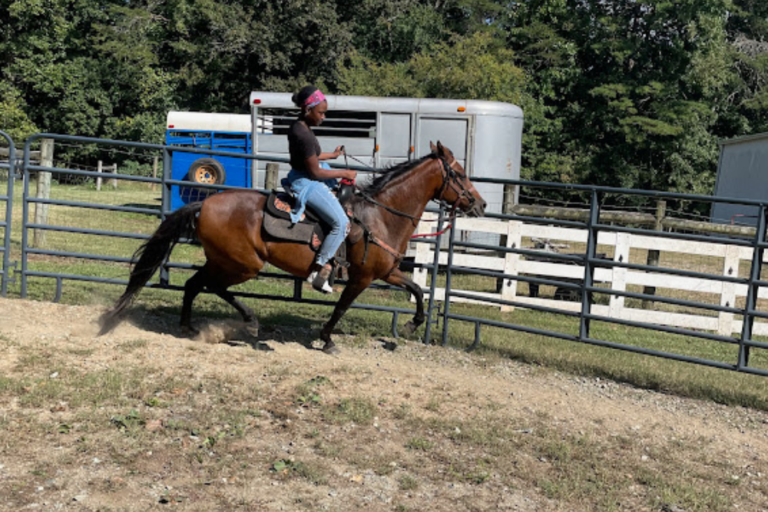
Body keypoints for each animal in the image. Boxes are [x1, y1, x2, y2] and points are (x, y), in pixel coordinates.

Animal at [98, 141, 486, 353]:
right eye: (460, 174)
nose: (480, 204)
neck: (379, 216)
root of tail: (204, 204)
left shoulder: (387, 271)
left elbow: (418, 290)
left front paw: (411, 325)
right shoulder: (361, 278)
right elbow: (341, 308)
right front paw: (327, 339)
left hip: (223, 260)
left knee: (195, 284)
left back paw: (190, 328)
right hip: (243, 264)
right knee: (213, 286)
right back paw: (250, 322)